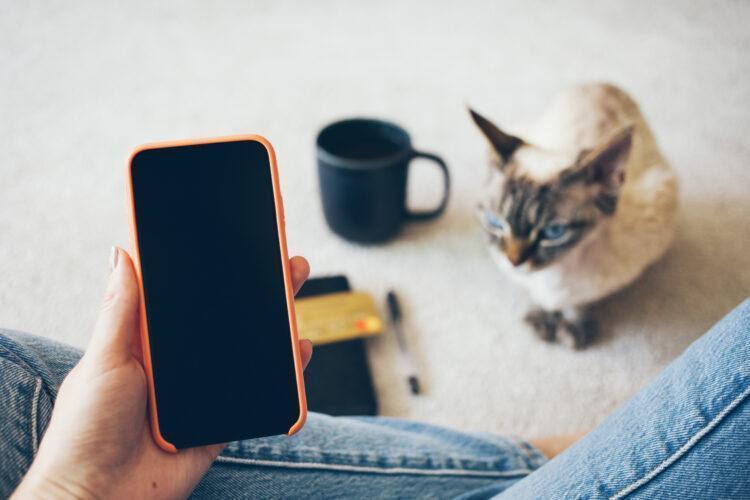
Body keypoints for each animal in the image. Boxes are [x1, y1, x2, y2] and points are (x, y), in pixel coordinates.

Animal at [472, 83, 680, 348]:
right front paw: (544, 317)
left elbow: (580, 301)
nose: (513, 261)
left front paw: (573, 324)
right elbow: (536, 296)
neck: (555, 276)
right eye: (495, 222)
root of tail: (603, 83)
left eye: (553, 232)